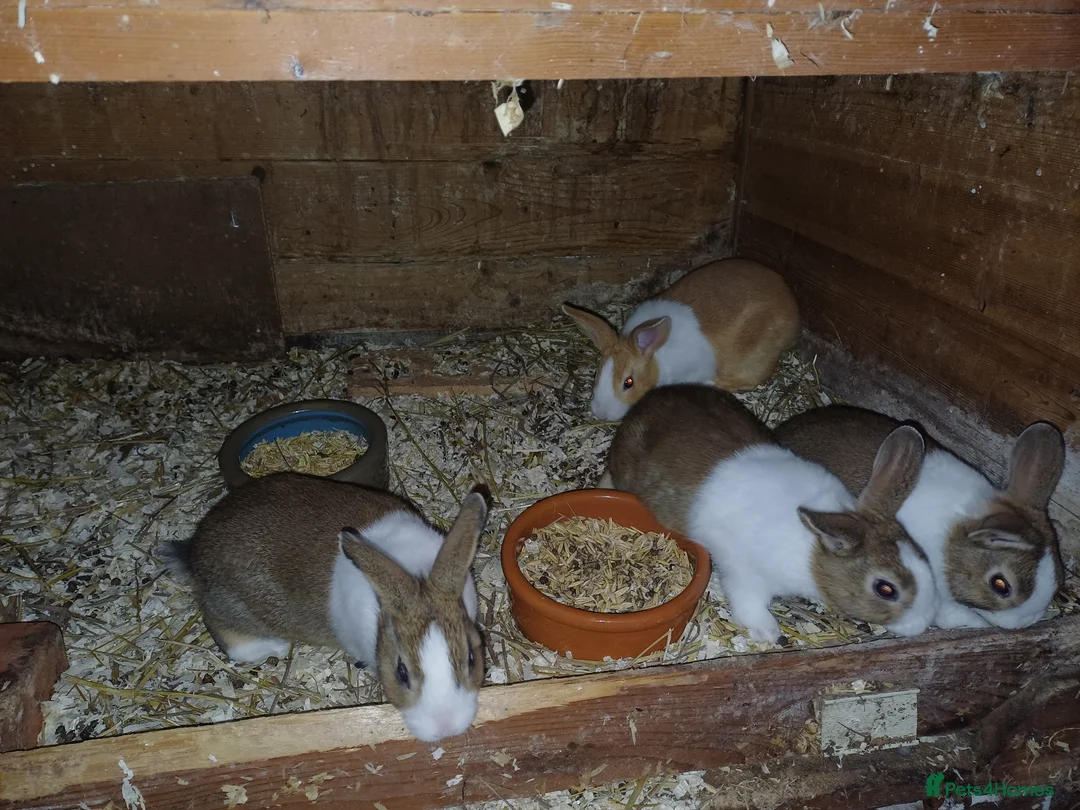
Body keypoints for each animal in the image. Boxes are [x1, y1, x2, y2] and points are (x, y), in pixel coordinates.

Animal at [162, 472, 490, 744]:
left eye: (472, 658)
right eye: (401, 673)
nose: (445, 728)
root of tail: (194, 553)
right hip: (232, 608)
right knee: (226, 635)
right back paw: (275, 647)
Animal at [562, 258, 801, 421]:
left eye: (628, 383)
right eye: (597, 373)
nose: (601, 414)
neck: (656, 357)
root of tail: (792, 305)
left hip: (754, 355)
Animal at [601, 384, 937, 643]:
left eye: (924, 556)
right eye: (885, 589)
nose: (922, 625)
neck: (812, 551)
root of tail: (648, 400)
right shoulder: (745, 575)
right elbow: (749, 606)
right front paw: (770, 633)